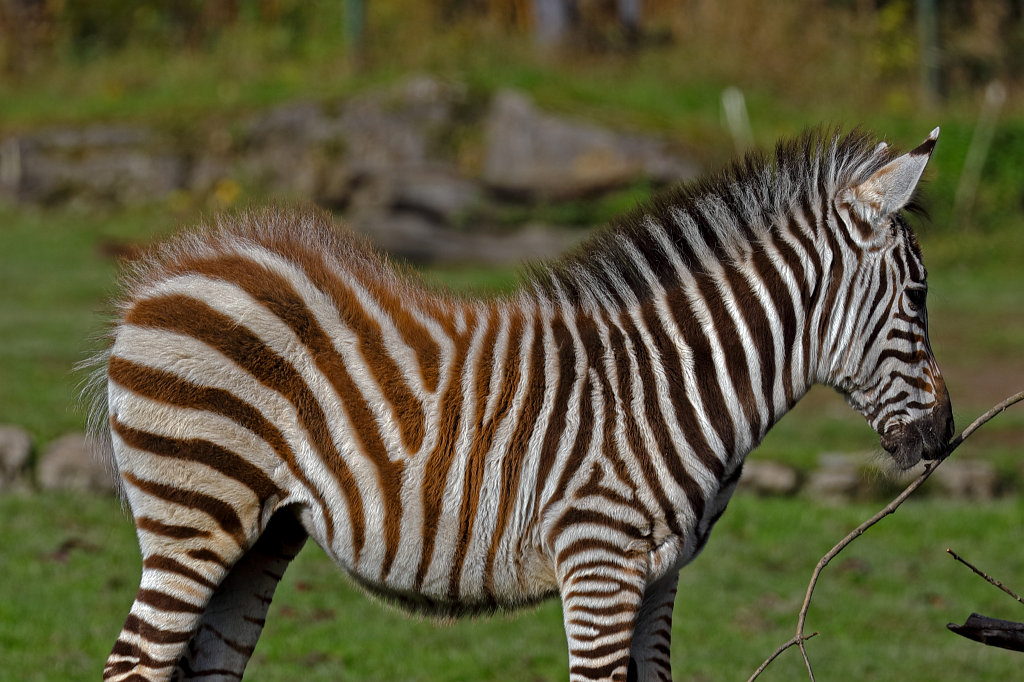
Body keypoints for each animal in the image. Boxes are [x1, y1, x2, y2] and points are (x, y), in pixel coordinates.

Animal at [91, 126, 954, 681]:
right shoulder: (599, 562)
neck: (677, 382)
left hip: (263, 532)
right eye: (918, 296)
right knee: (133, 665)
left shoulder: (660, 577)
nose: (944, 436)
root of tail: (167, 272)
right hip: (194, 514)